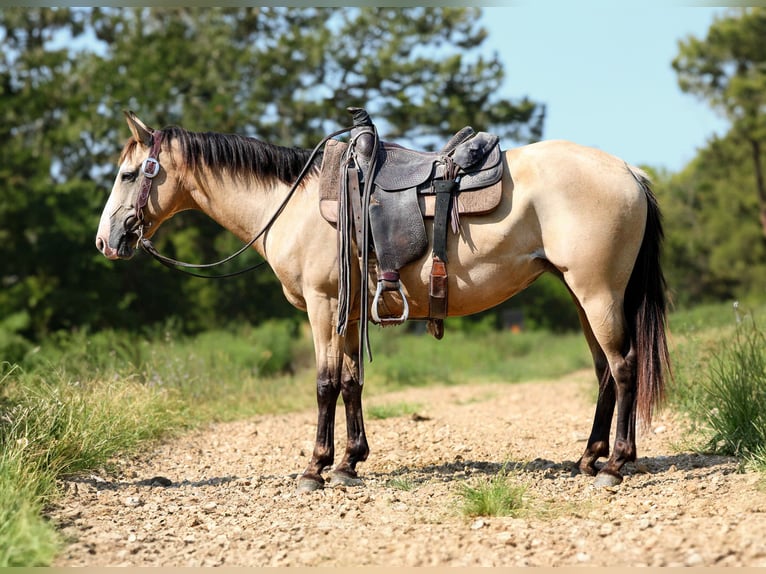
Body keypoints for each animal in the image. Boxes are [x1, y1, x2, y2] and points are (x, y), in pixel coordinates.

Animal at [96, 111, 671, 491]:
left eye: (128, 174)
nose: (106, 241)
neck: (294, 204)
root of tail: (630, 173)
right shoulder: (348, 310)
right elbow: (352, 381)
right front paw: (350, 463)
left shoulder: (324, 304)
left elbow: (325, 383)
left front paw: (315, 468)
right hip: (581, 295)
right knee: (604, 371)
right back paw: (590, 458)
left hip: (598, 293)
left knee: (624, 367)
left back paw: (615, 466)